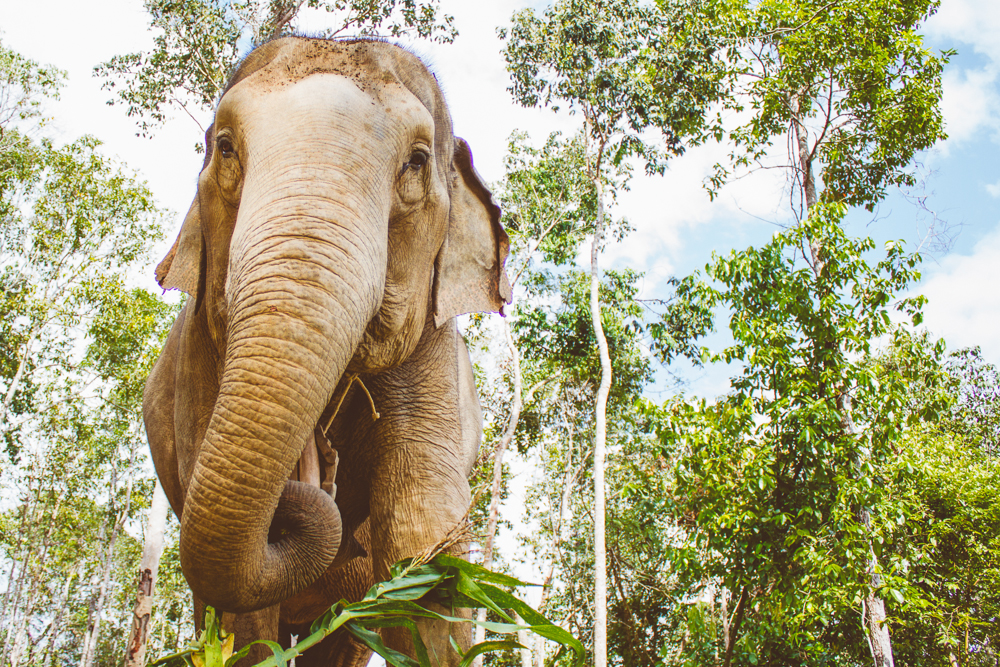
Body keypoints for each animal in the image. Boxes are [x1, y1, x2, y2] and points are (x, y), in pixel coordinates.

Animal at [142, 37, 512, 667]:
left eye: (416, 161)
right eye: (225, 147)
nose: (318, 468)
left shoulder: (433, 347)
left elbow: (424, 534)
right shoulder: (199, 353)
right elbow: (239, 623)